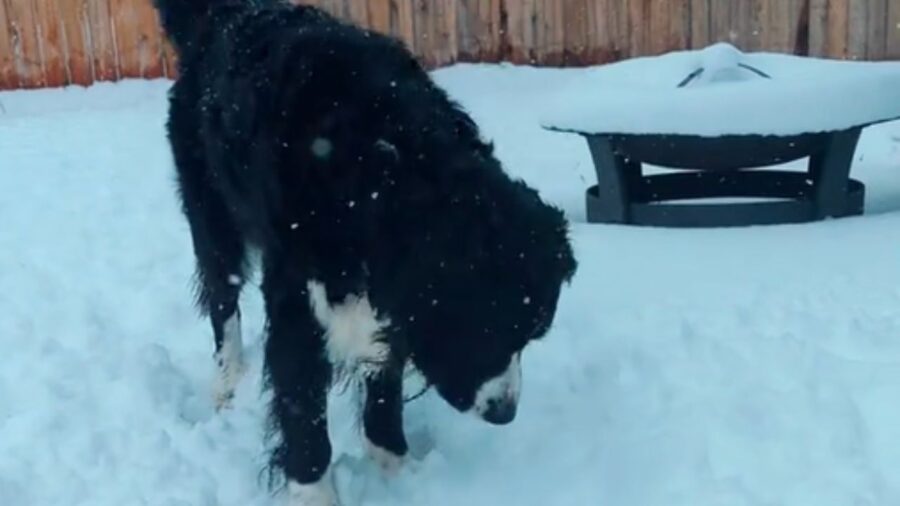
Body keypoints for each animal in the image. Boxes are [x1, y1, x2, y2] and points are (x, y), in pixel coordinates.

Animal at [153, 0, 576, 502]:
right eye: (487, 328)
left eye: (531, 336)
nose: (503, 412)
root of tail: (227, 14)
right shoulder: (297, 298)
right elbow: (304, 413)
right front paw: (315, 491)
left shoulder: (392, 299)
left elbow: (384, 384)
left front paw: (395, 466)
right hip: (213, 217)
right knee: (223, 300)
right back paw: (226, 381)